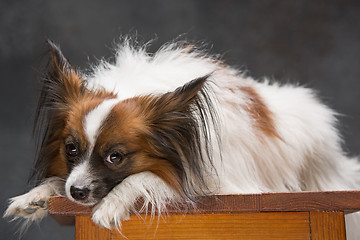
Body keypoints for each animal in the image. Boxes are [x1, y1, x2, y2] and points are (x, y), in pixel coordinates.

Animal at [3, 37, 360, 238]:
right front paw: (37, 195)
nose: (76, 192)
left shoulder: (218, 186)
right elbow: (56, 181)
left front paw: (112, 204)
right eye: (71, 150)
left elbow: (147, 178)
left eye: (115, 157)